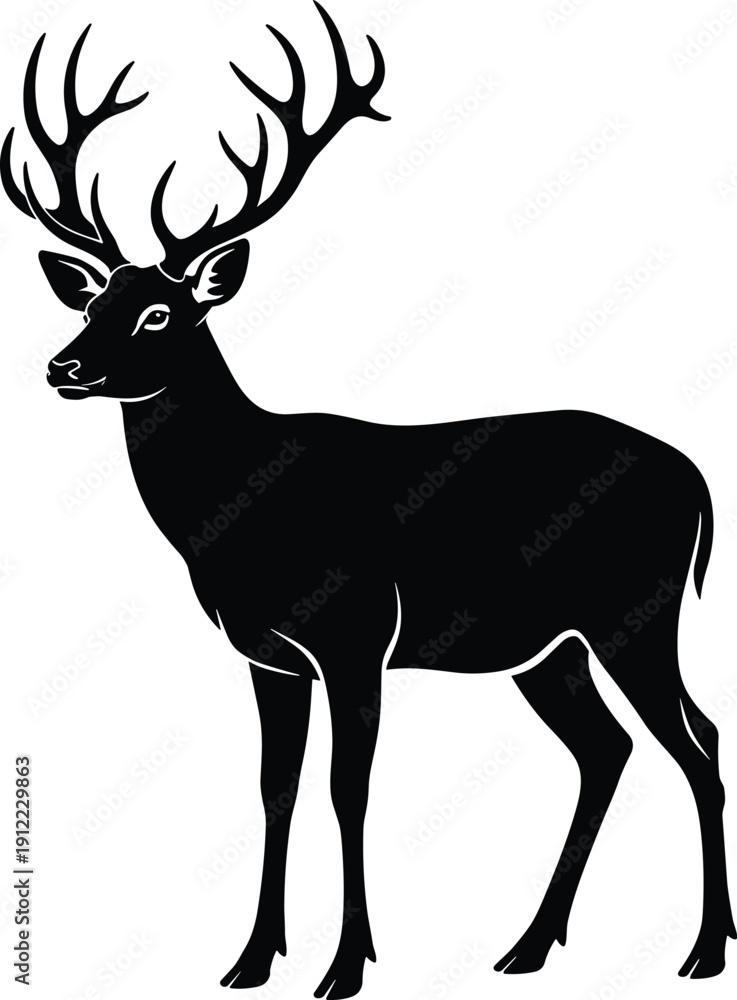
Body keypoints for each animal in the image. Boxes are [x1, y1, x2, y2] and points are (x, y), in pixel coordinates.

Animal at [3, 4, 734, 997]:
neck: (236, 516)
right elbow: (273, 790)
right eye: (92, 303)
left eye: (161, 312)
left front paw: (346, 966)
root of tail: (696, 479)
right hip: (550, 647)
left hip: (640, 609)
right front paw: (249, 960)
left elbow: (348, 790)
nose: (62, 366)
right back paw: (527, 945)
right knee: (606, 749)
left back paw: (702, 950)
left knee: (697, 742)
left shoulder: (354, 632)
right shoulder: (267, 654)